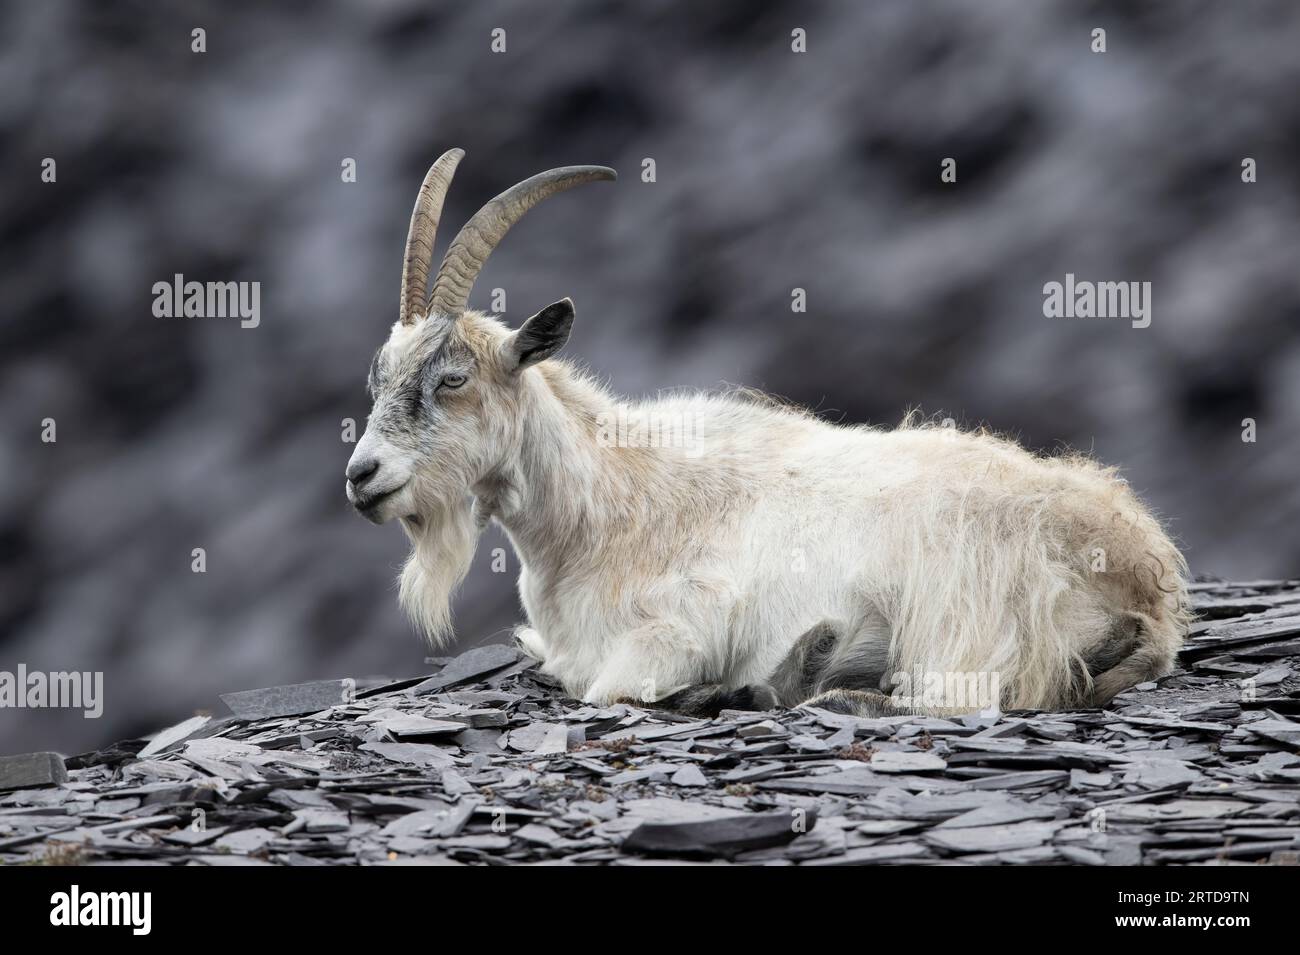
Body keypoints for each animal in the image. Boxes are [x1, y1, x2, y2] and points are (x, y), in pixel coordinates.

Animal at [343, 147, 1190, 717]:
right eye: (378, 375)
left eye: (454, 378)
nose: (361, 475)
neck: (607, 509)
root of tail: (1149, 578)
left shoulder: (673, 633)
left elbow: (613, 693)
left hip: (963, 607)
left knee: (960, 696)